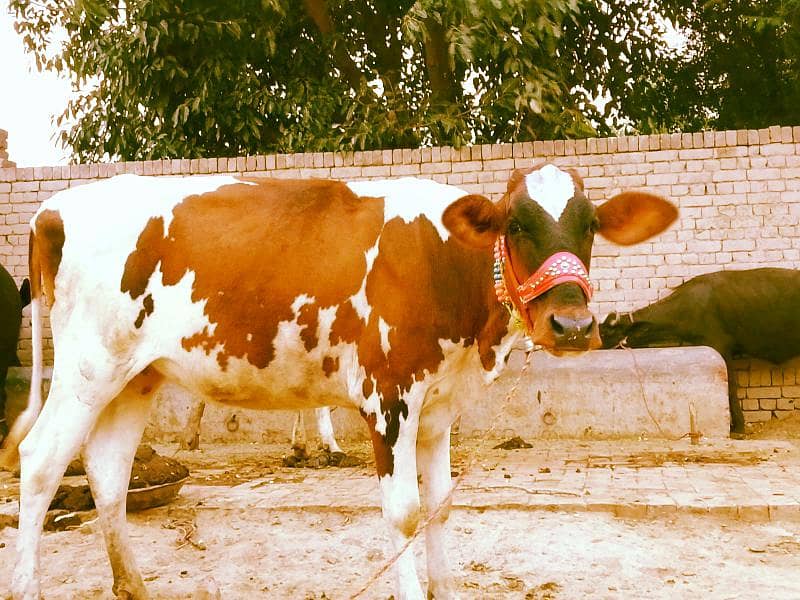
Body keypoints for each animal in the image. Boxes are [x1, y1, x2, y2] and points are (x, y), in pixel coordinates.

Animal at [0, 167, 676, 599]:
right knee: (40, 461)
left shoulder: (438, 408)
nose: (573, 324)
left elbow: (441, 505)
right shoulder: (388, 397)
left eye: (590, 225)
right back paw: (31, 586)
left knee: (108, 472)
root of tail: (54, 209)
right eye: (515, 224)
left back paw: (135, 586)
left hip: (134, 374)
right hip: (85, 368)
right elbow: (404, 513)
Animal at [599, 267, 800, 436]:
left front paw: (738, 429)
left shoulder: (720, 347)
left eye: (606, 333)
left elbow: (730, 387)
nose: (594, 347)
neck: (690, 307)